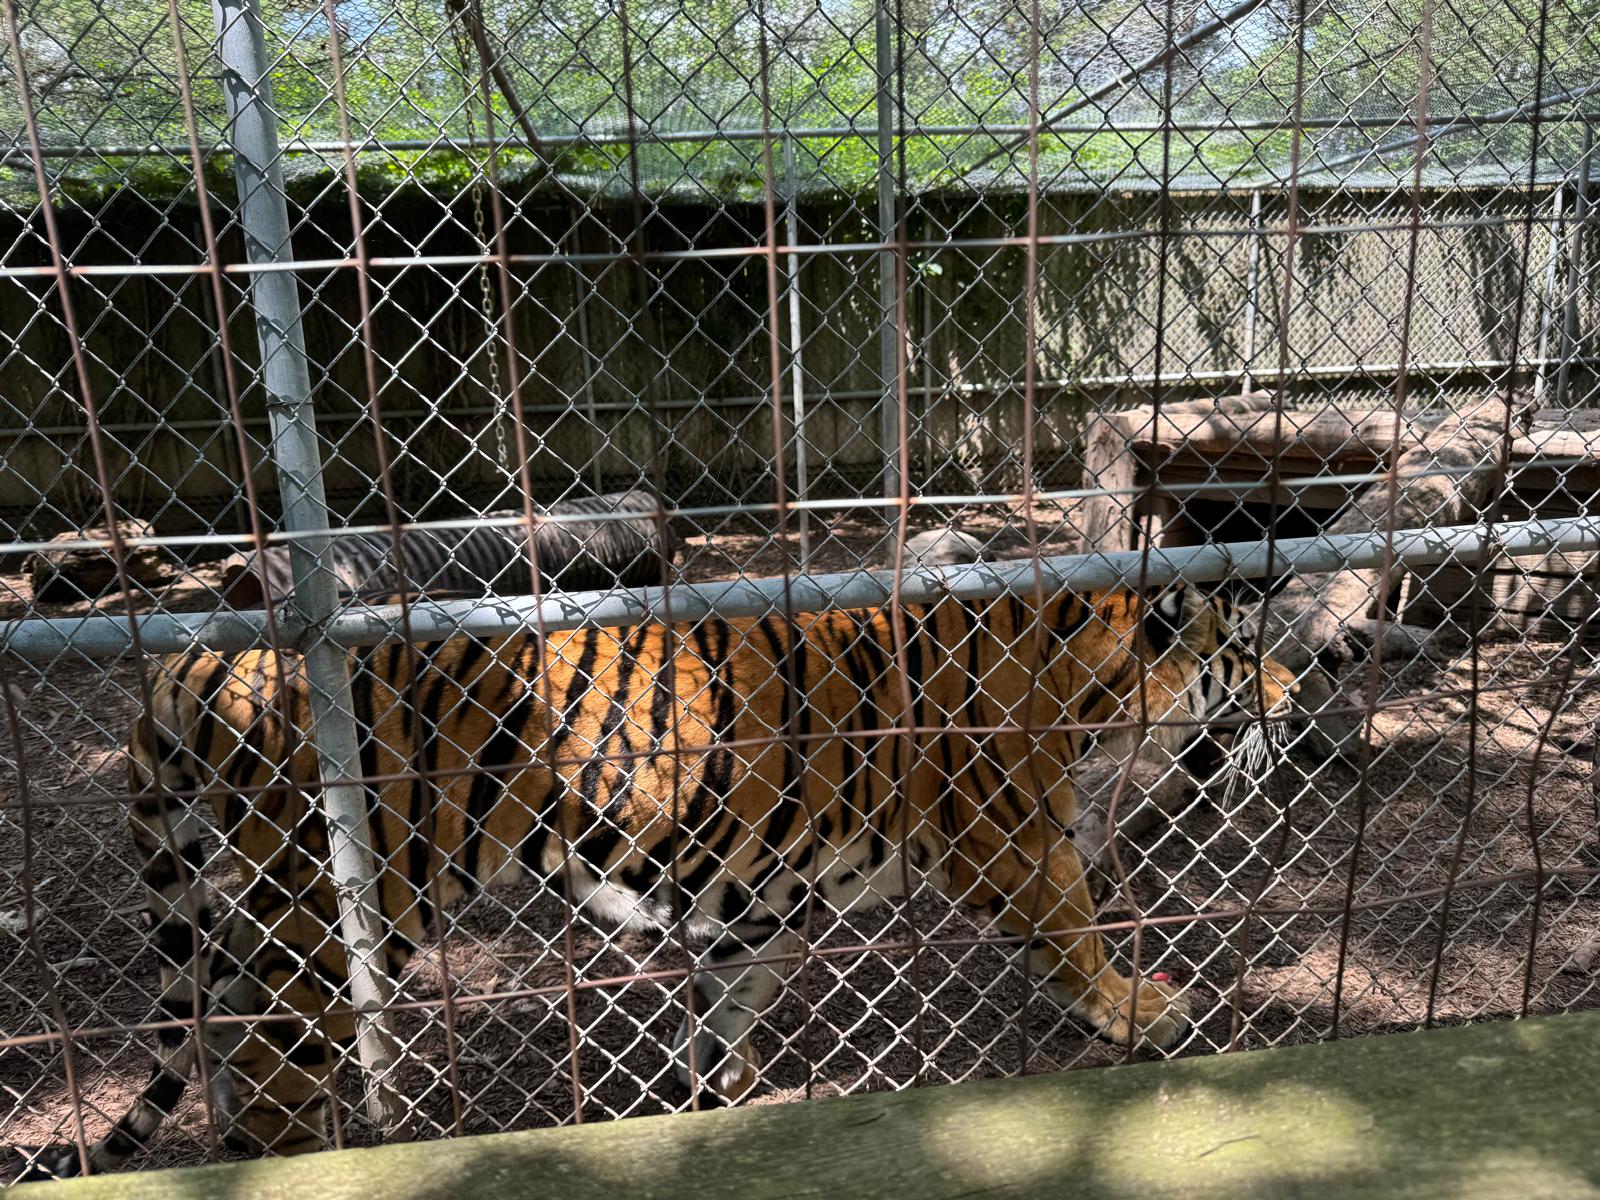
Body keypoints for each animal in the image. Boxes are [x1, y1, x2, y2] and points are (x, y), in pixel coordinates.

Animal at [22, 577, 1296, 1178]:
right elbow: (1075, 930)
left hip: (263, 904)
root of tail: (199, 657)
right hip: (346, 901)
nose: (1302, 690)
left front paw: (712, 1101)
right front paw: (1141, 1010)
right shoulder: (1016, 840)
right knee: (269, 1069)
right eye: (1242, 653)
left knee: (229, 1043)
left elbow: (725, 1004)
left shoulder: (766, 896)